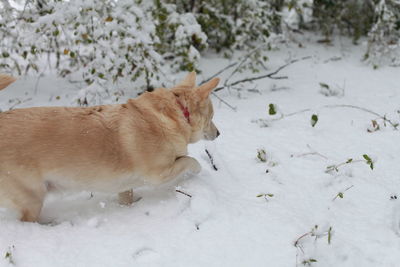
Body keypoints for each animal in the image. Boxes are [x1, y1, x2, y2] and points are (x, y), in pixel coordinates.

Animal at [0, 72, 219, 223]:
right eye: (211, 117)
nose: (219, 134)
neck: (175, 114)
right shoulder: (158, 174)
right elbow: (190, 160)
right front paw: (197, 171)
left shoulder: (125, 185)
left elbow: (127, 197)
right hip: (33, 198)